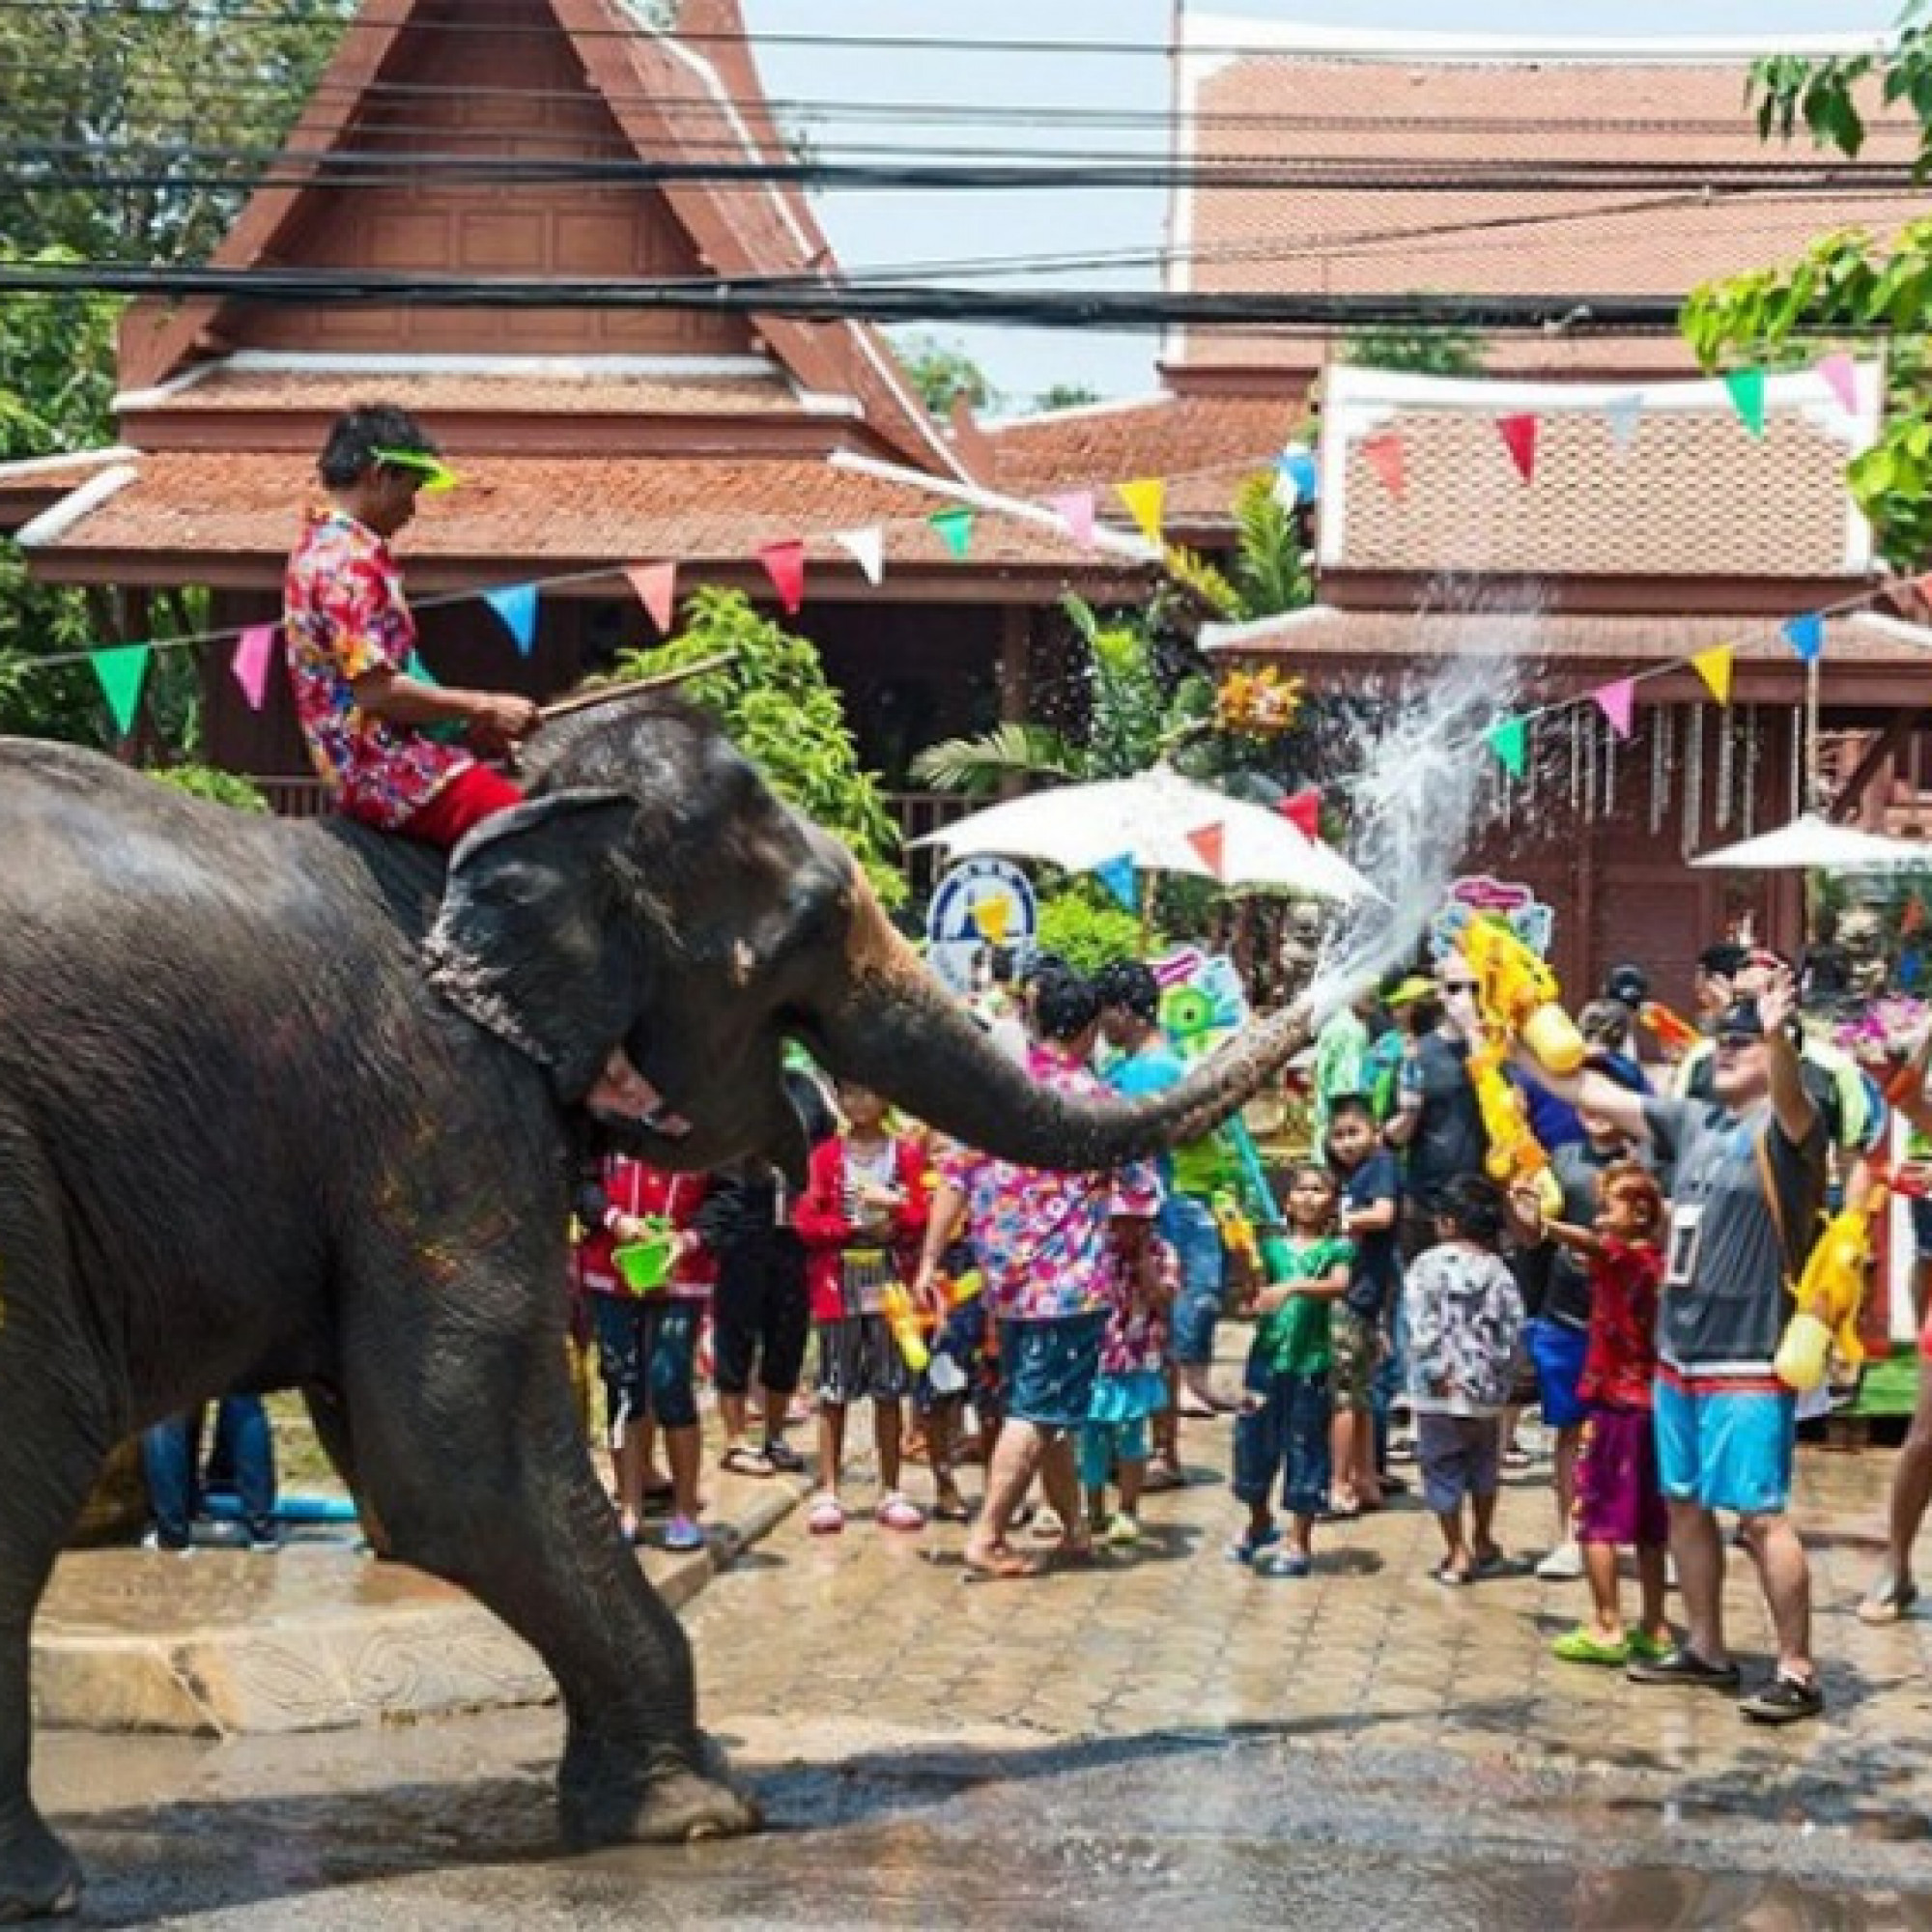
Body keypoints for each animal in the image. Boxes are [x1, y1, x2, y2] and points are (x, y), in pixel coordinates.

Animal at [0, 699, 1314, 1917]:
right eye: (803, 932)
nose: (1325, 980)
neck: (495, 821)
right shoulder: (442, 1106)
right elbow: (457, 1466)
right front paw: (705, 1810)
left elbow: (412, 1464)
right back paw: (47, 1886)